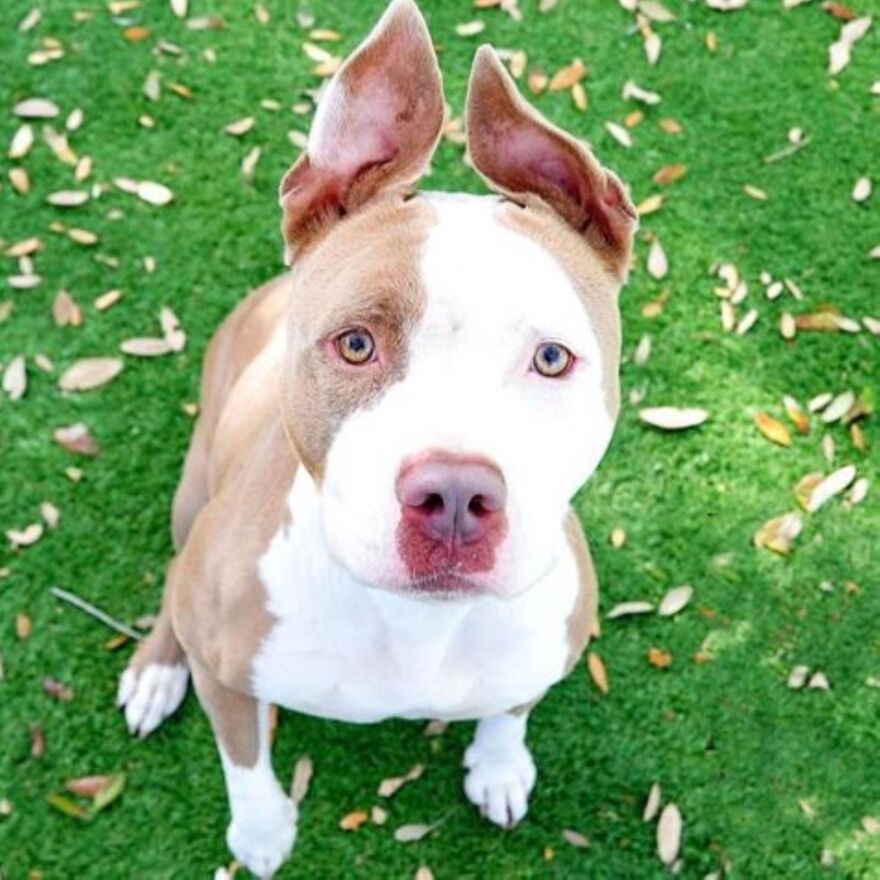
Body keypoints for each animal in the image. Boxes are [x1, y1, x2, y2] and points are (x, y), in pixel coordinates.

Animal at [118, 1, 632, 872]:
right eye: (356, 344)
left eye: (552, 357)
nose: (455, 496)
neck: (417, 623)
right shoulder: (228, 672)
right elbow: (244, 759)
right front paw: (262, 833)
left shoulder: (543, 650)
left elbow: (511, 708)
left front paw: (499, 766)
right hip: (193, 500)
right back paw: (156, 672)